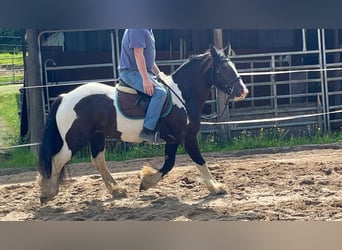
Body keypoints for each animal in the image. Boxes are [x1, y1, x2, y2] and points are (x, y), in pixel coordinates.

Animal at [38, 44, 248, 204]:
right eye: (223, 69)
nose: (242, 91)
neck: (182, 96)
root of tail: (65, 98)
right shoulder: (187, 137)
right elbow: (200, 161)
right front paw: (216, 187)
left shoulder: (173, 140)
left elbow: (169, 164)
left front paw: (146, 181)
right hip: (74, 140)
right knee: (57, 160)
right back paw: (48, 192)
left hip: (96, 136)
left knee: (98, 161)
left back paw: (117, 191)